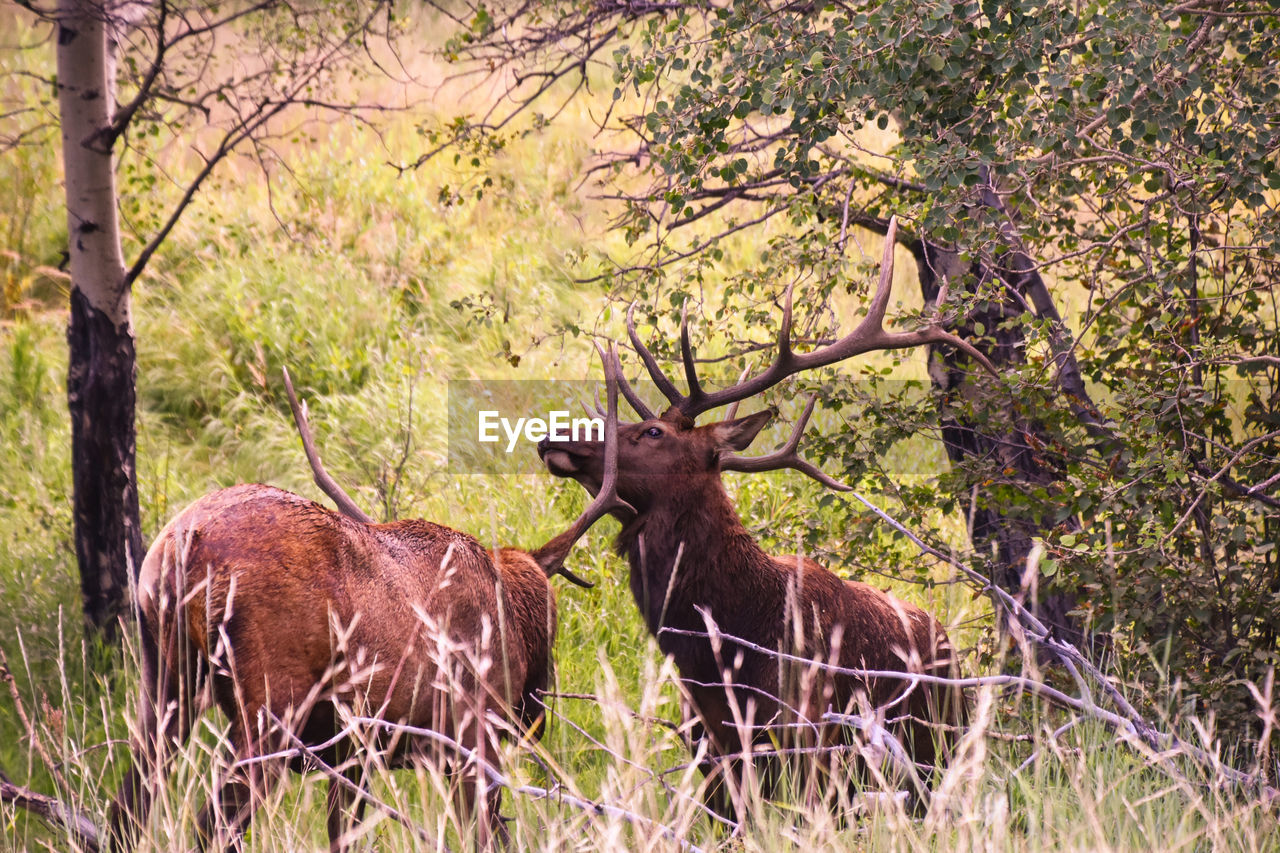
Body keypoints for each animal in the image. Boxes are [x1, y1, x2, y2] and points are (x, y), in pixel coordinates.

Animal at [108, 361, 624, 845]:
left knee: (126, 809)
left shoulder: (356, 756)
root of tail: (185, 544)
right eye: (552, 618)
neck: (511, 613)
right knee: (211, 825)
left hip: (166, 681)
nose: (535, 715)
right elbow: (488, 835)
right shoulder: (470, 732)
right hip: (271, 705)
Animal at [535, 216, 983, 814]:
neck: (721, 649)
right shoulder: (709, 753)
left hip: (934, 752)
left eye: (652, 432)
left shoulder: (808, 742)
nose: (554, 439)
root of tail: (949, 644)